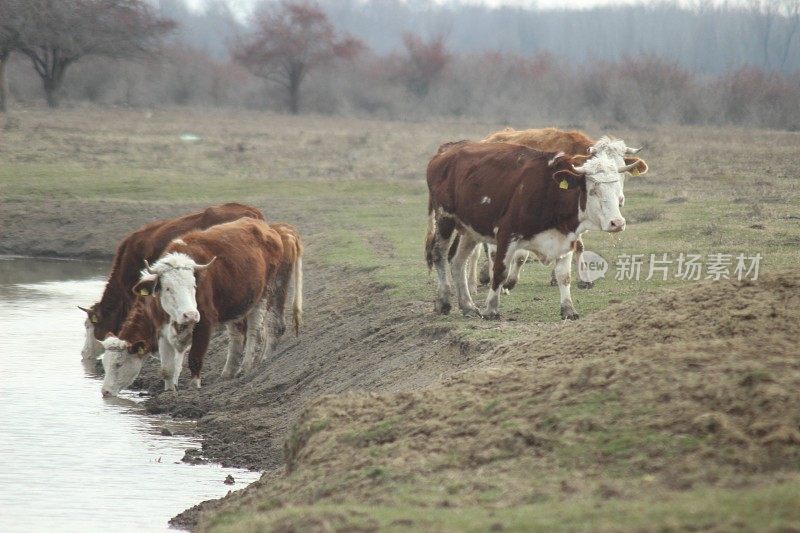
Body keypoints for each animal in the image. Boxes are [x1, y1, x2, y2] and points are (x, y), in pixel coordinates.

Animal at [98, 216, 302, 394]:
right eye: (167, 288)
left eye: (194, 285)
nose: (105, 392)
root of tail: (273, 229)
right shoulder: (162, 329)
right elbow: (168, 368)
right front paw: (169, 391)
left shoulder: (204, 323)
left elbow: (195, 359)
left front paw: (194, 388)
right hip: (238, 305)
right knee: (237, 336)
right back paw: (228, 373)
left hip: (268, 294)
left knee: (261, 331)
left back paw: (248, 367)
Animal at [424, 141, 644, 320]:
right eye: (593, 190)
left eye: (617, 188)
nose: (617, 223)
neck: (551, 190)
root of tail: (445, 153)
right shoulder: (507, 234)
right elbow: (500, 271)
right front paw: (491, 309)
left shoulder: (566, 238)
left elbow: (564, 275)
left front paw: (568, 309)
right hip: (445, 217)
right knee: (439, 254)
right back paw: (444, 301)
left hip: (469, 229)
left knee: (458, 261)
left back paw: (468, 306)